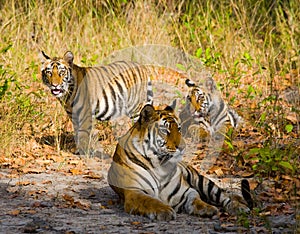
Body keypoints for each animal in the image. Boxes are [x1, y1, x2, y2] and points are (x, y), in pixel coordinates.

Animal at [106, 103, 252, 220]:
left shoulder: (185, 191)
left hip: (201, 180)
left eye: (179, 128)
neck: (159, 165)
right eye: (165, 130)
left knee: (223, 195)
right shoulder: (134, 191)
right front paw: (165, 210)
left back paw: (239, 206)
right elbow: (150, 201)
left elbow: (196, 199)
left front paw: (207, 208)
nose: (182, 147)